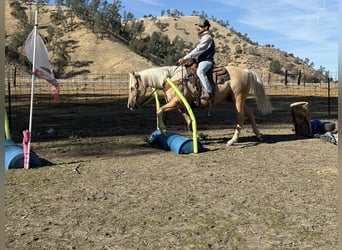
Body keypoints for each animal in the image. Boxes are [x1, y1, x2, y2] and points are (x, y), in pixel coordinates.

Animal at [127, 65, 272, 146]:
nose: (129, 105)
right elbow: (189, 122)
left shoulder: (176, 103)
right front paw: (196, 139)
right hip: (233, 100)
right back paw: (259, 135)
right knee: (250, 113)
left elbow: (159, 110)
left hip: (238, 99)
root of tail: (246, 72)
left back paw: (232, 141)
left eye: (132, 87)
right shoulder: (181, 107)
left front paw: (163, 131)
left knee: (240, 118)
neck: (172, 79)